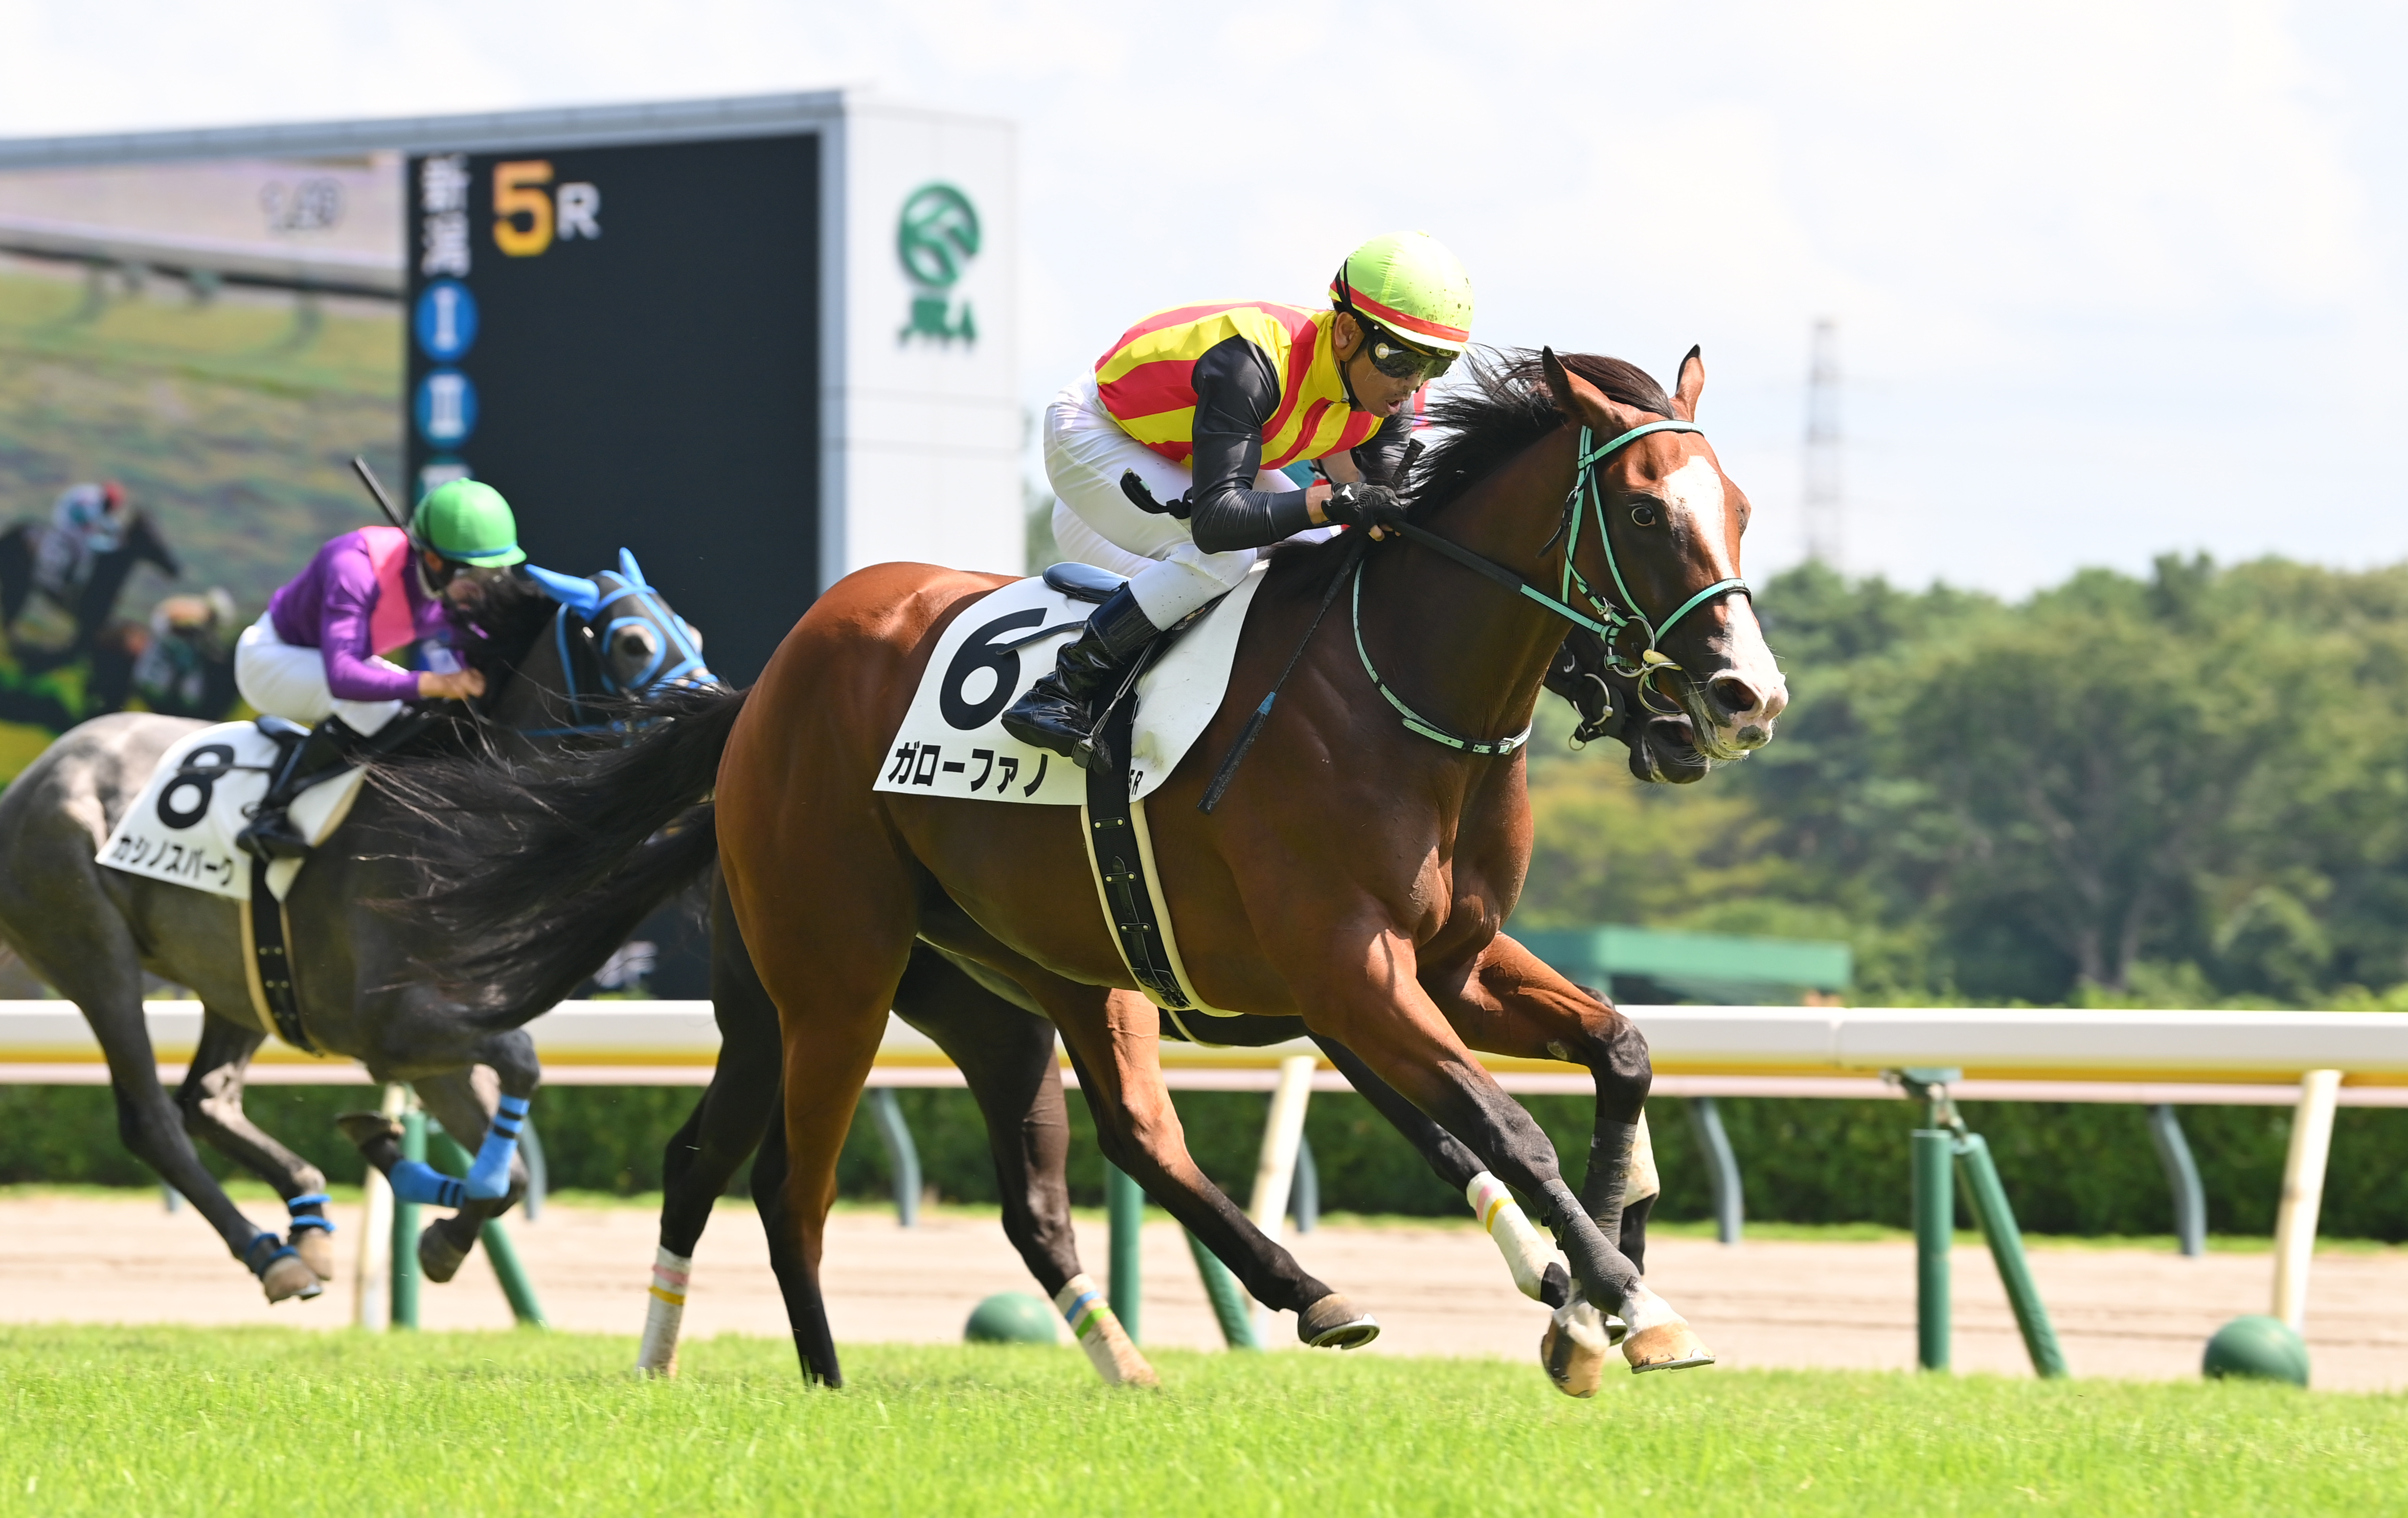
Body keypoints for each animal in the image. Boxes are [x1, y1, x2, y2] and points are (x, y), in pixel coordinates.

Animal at [0, 509, 182, 672]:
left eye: (160, 533)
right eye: (151, 537)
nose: (175, 567)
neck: (106, 570)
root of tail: (13, 531)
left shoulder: (95, 623)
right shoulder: (90, 619)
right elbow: (76, 652)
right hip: (19, 585)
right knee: (11, 620)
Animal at [0, 554, 711, 1302]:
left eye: (690, 631)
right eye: (633, 642)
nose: (711, 715)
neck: (466, 831)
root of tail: (37, 773)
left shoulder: (442, 1036)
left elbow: (511, 1170)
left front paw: (424, 1208)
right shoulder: (389, 1031)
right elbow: (522, 1062)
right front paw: (403, 1168)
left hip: (243, 979)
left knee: (208, 1100)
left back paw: (308, 1220)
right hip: (91, 945)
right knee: (153, 1118)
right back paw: (271, 1253)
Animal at [395, 347, 1786, 1379]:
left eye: (1738, 509)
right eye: (1645, 509)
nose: (1741, 696)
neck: (1396, 690)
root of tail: (769, 681)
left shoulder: (1446, 963)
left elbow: (1617, 1053)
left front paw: (1597, 1292)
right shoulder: (1347, 971)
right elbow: (1502, 1127)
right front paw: (1625, 1304)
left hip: (1026, 973)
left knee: (1107, 1138)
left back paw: (1282, 1304)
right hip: (831, 976)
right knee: (790, 1184)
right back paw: (824, 1383)